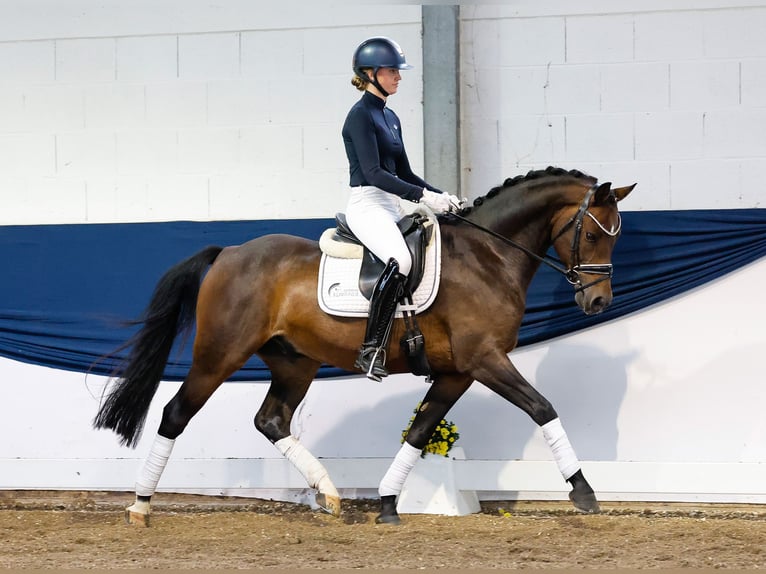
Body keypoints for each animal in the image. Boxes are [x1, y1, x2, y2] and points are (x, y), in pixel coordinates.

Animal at [94, 165, 636, 528]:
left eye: (616, 237)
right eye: (592, 235)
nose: (598, 302)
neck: (489, 255)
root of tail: (228, 252)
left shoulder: (458, 371)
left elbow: (419, 431)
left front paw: (389, 505)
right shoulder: (485, 359)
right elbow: (542, 407)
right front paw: (584, 492)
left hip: (294, 362)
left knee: (271, 420)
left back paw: (330, 494)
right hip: (219, 354)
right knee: (176, 413)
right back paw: (140, 506)